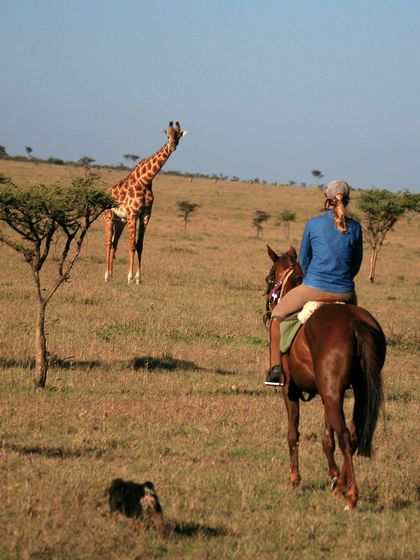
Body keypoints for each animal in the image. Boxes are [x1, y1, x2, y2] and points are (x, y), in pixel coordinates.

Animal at [104, 120, 187, 282]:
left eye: (179, 137)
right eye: (168, 136)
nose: (173, 147)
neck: (146, 181)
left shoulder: (145, 214)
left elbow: (140, 245)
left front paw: (138, 278)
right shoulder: (133, 214)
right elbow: (131, 245)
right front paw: (130, 277)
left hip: (120, 221)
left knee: (114, 243)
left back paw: (111, 275)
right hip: (108, 217)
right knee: (108, 243)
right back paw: (105, 275)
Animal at [264, 244, 386, 508]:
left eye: (269, 279)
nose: (268, 310)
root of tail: (354, 323)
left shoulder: (290, 390)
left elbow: (293, 434)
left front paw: (295, 479)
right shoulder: (325, 391)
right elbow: (327, 438)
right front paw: (333, 475)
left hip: (331, 393)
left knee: (345, 436)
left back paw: (351, 496)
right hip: (355, 391)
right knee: (352, 435)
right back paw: (341, 485)